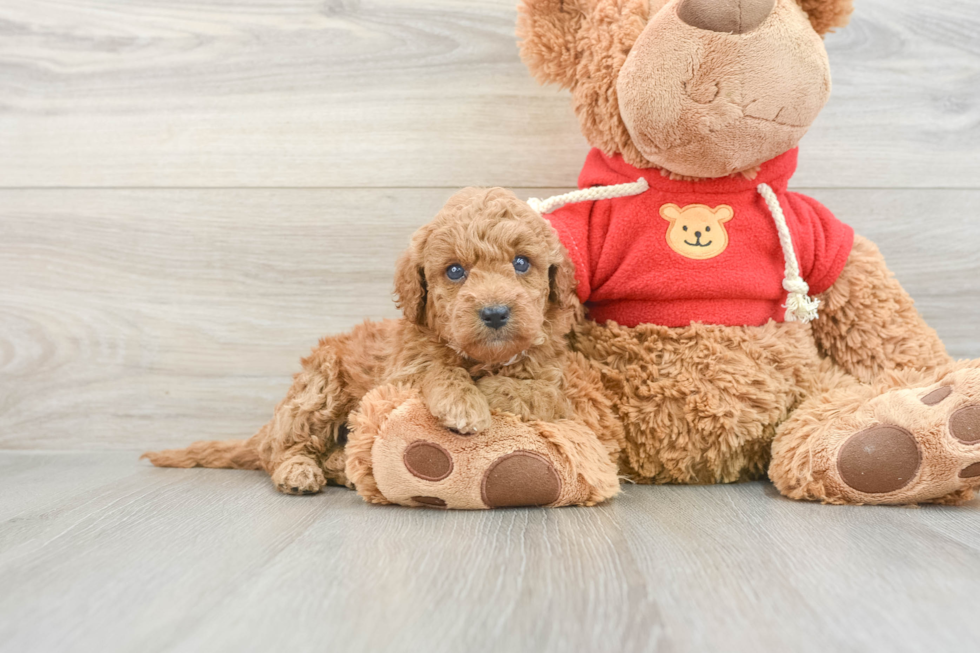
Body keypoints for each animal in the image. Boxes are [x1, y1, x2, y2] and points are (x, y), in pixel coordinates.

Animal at [144, 186, 620, 506]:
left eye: (522, 263)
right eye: (454, 271)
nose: (495, 313)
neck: (482, 356)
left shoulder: (550, 382)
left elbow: (527, 389)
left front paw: (483, 391)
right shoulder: (399, 373)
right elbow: (438, 369)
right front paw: (463, 402)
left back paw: (343, 467)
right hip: (319, 389)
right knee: (278, 449)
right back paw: (301, 470)